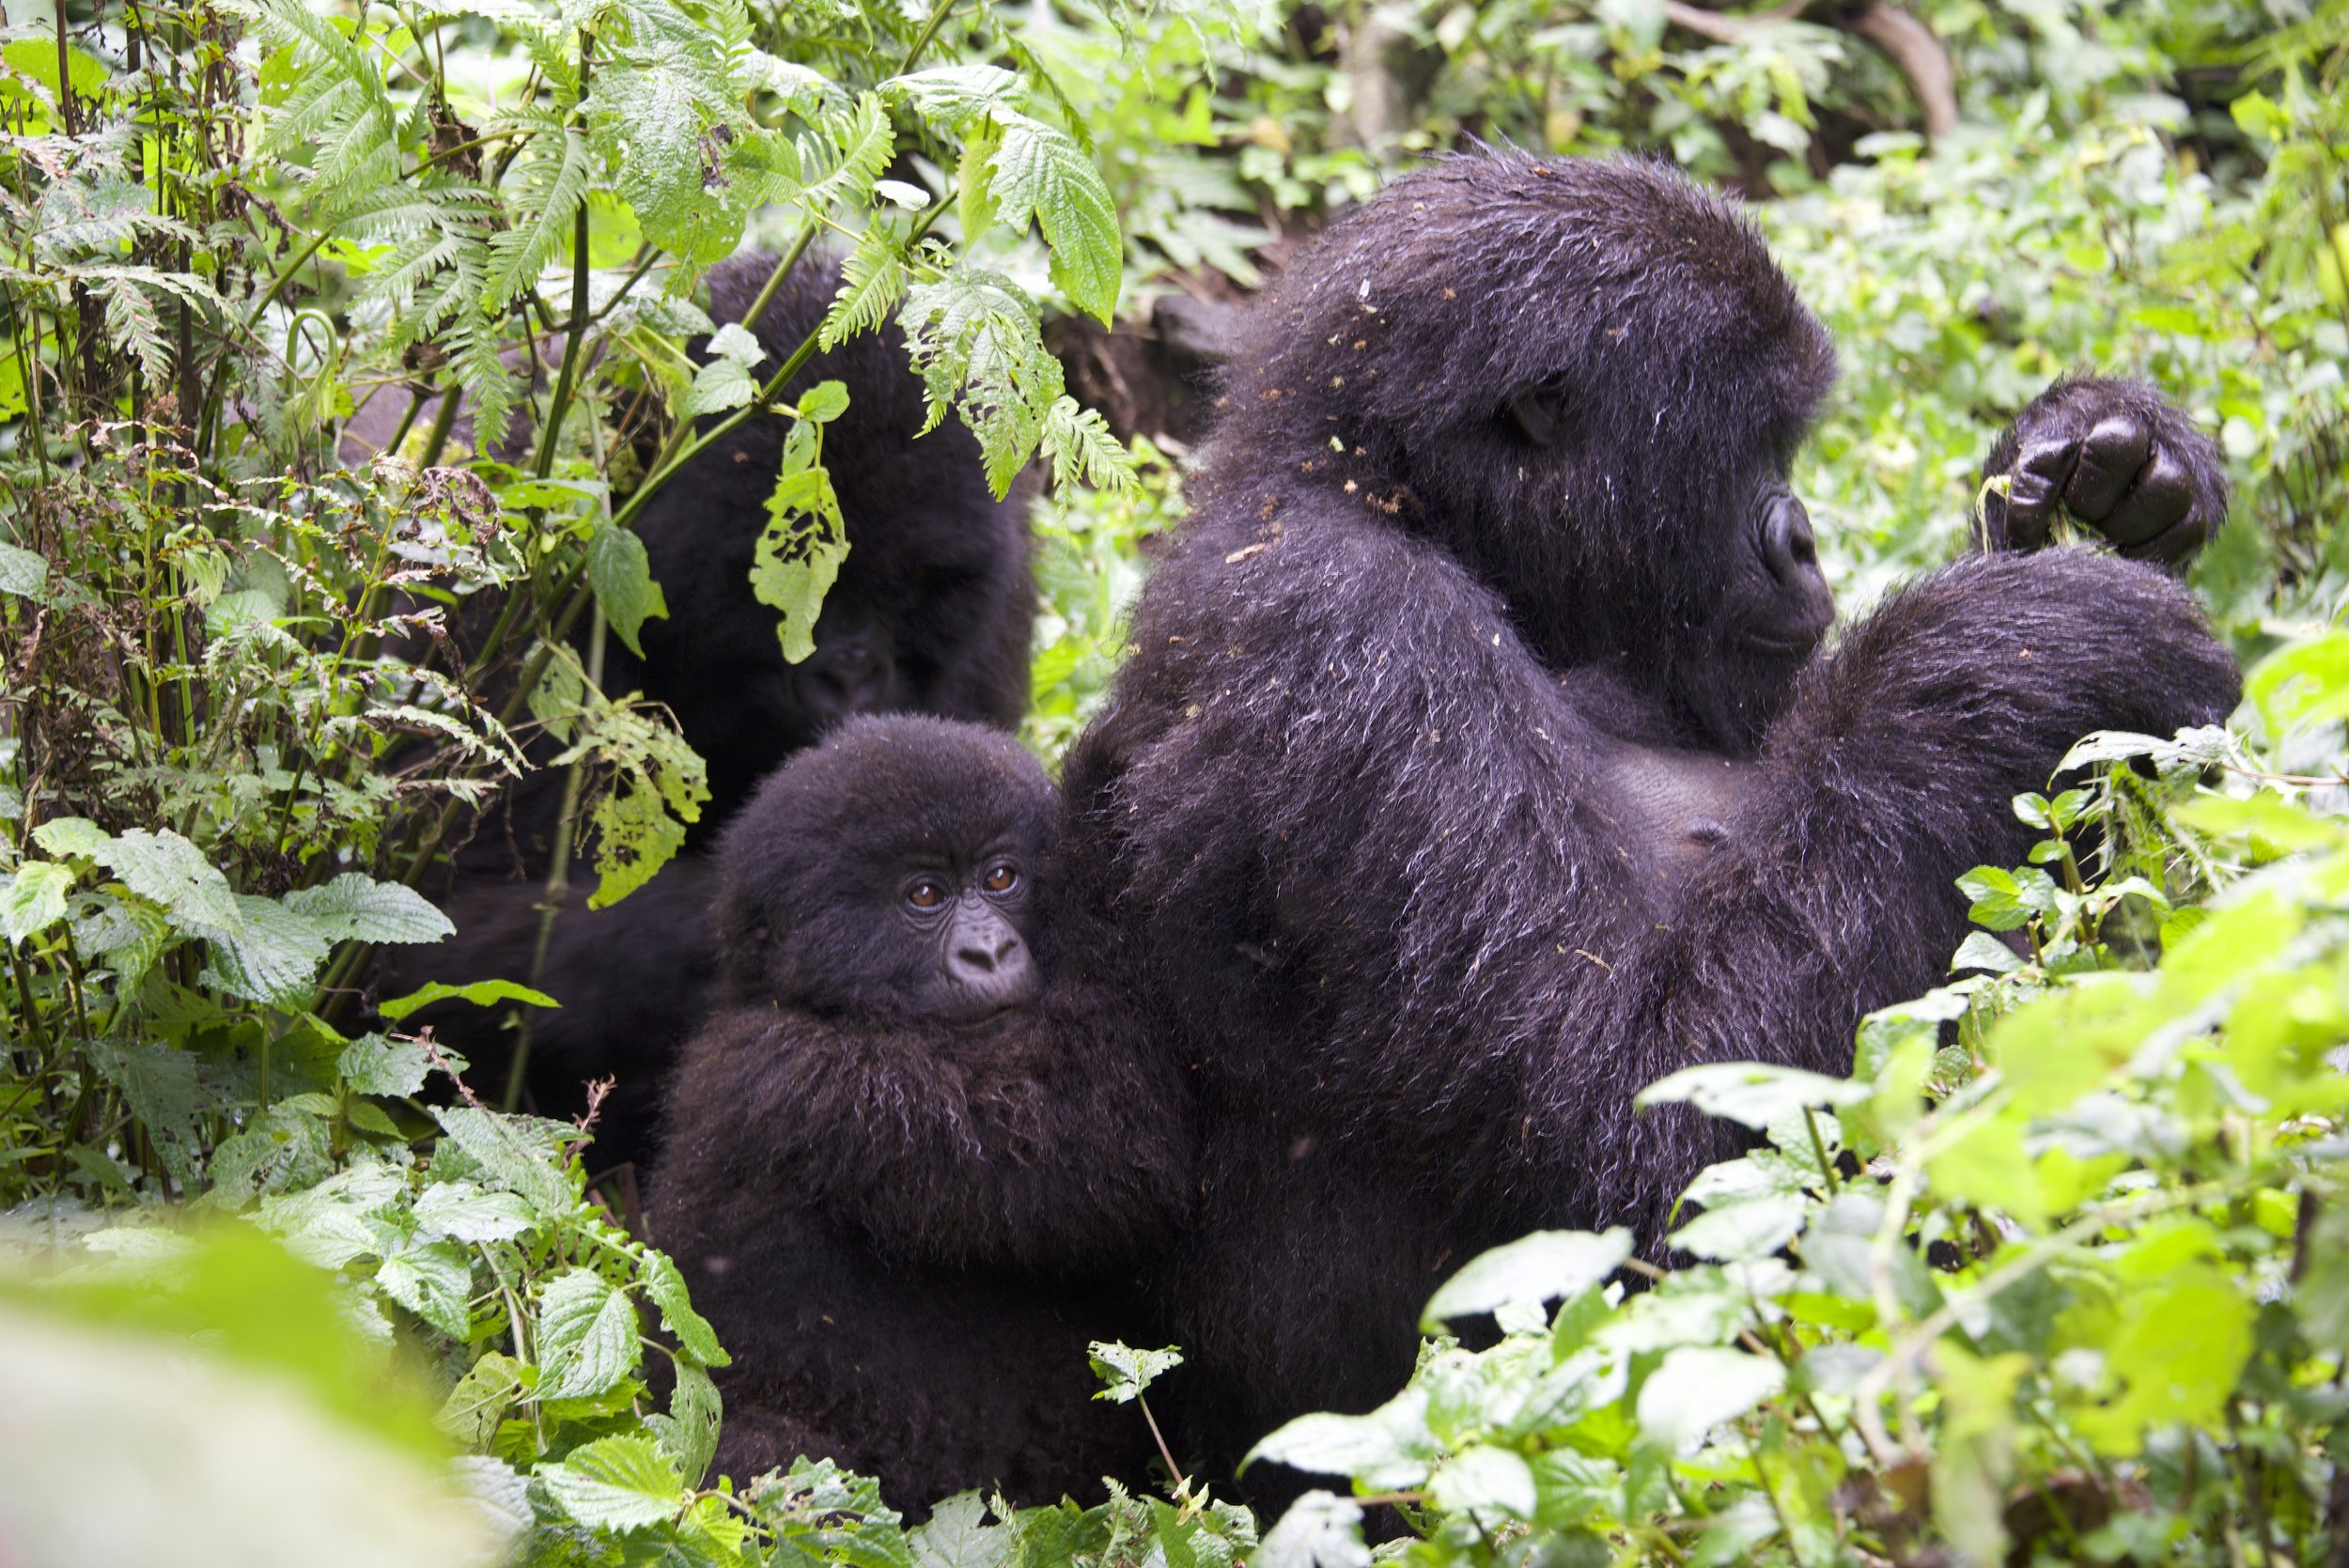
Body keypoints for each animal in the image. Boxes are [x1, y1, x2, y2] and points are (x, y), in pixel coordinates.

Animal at [1066, 152, 2236, 1493]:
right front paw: (2027, 639)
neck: (1404, 500)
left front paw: (2112, 460)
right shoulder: (1343, 628)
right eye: (1753, 443)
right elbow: (1633, 1137)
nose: (1802, 541)